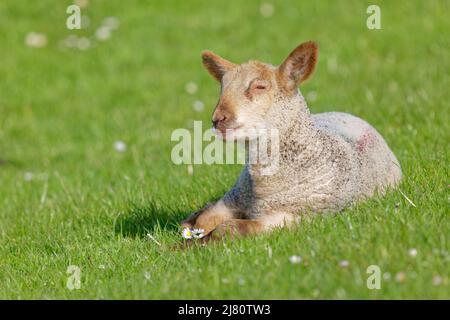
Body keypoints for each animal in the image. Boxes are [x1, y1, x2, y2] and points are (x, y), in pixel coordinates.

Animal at [179, 41, 400, 244]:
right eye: (222, 88)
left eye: (260, 86)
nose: (217, 119)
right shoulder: (232, 198)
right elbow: (204, 220)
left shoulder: (294, 216)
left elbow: (229, 228)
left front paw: (197, 243)